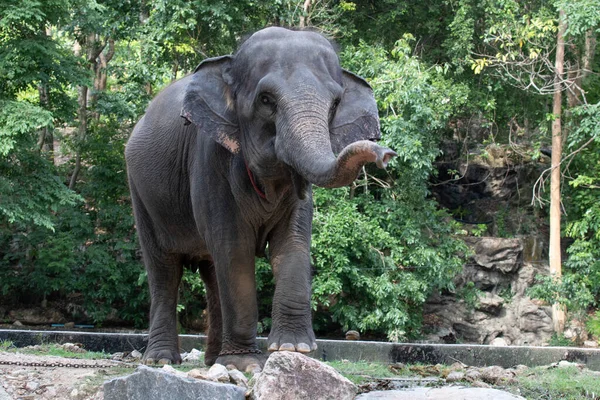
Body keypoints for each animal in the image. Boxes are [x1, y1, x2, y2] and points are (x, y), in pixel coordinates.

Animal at [126, 26, 396, 368]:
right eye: (266, 100)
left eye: (335, 103)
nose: (386, 154)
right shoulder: (210, 159)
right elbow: (234, 247)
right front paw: (245, 364)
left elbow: (292, 242)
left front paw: (293, 349)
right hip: (140, 192)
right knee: (164, 269)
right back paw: (162, 360)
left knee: (211, 269)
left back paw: (213, 360)